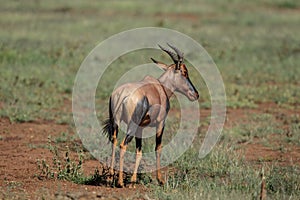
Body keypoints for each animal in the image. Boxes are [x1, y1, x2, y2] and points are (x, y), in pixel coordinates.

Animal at [103, 43, 199, 188]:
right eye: (184, 72)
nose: (195, 94)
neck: (159, 87)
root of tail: (122, 94)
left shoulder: (140, 128)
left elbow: (139, 152)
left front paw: (133, 181)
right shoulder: (161, 123)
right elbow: (158, 148)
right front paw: (160, 180)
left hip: (116, 123)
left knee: (114, 142)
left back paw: (110, 178)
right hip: (131, 125)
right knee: (122, 145)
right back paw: (120, 182)